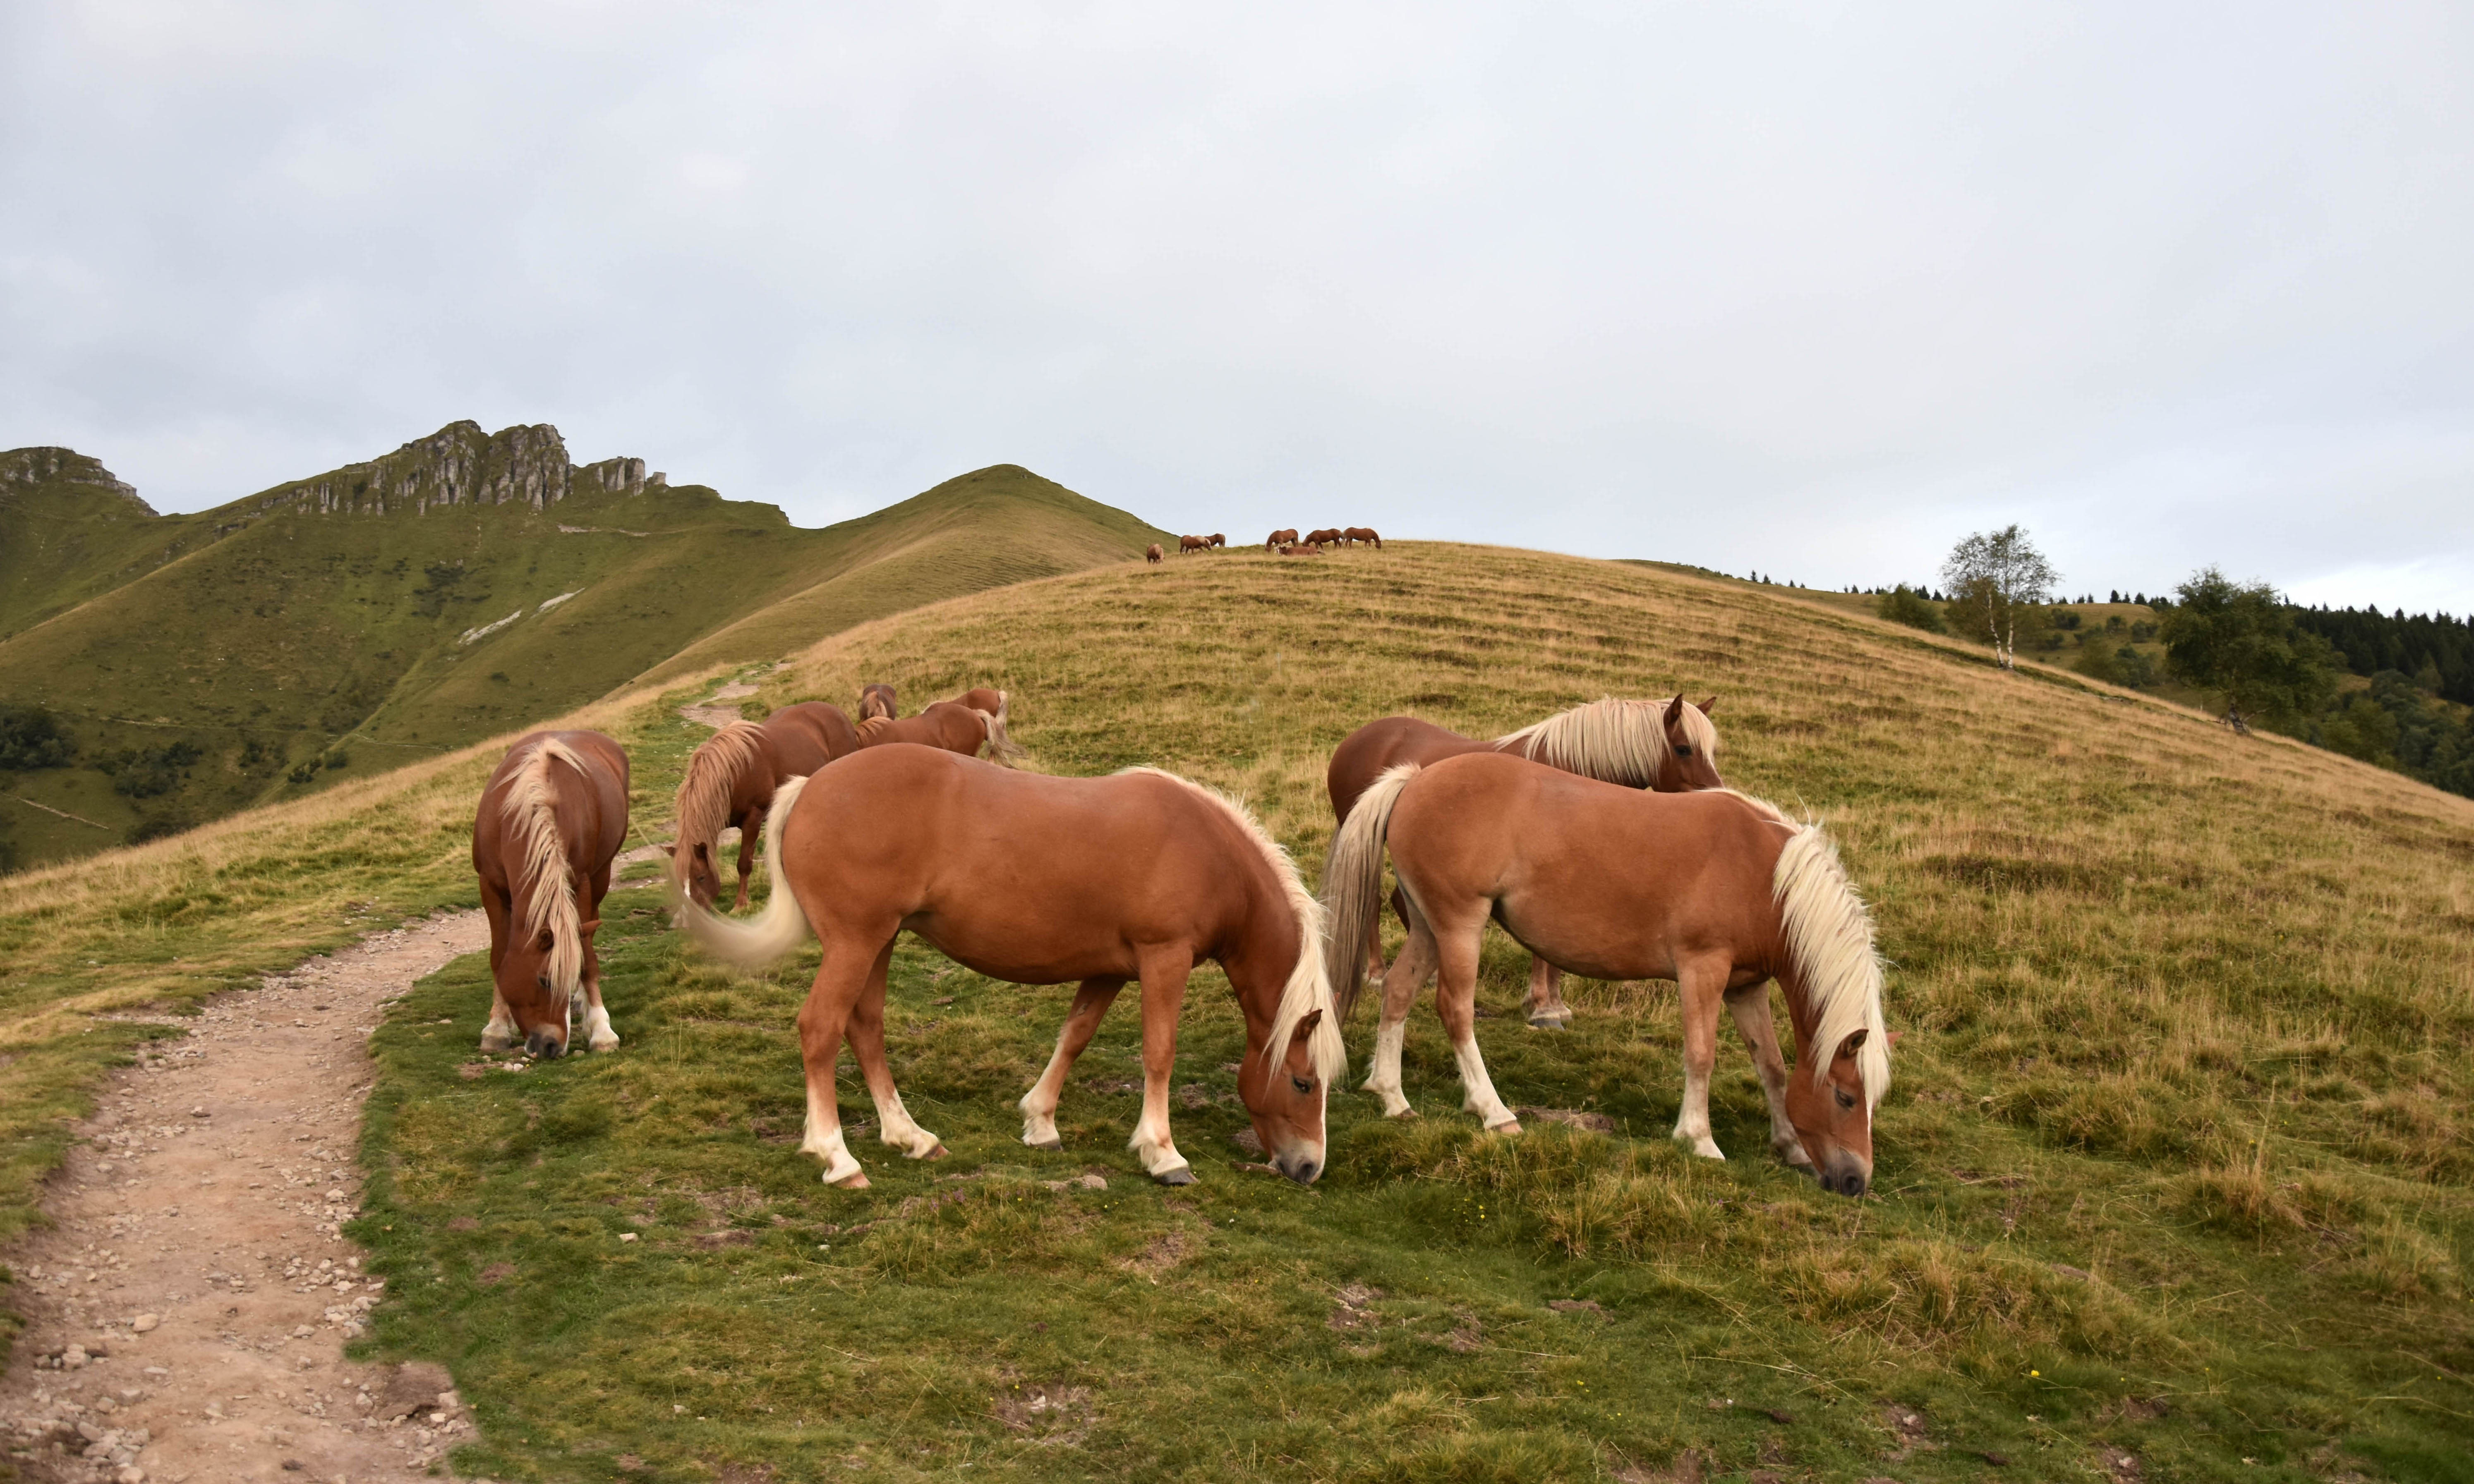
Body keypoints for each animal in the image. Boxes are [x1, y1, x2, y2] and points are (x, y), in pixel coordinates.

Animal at [470, 727, 628, 1053]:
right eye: (544, 981)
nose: (551, 1046)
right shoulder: (489, 885)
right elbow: (498, 957)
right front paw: (496, 1029)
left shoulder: (580, 883)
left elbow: (587, 959)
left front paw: (602, 1031)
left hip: (601, 876)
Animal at [668, 747, 1346, 1187]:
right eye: (1303, 1083)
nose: (1310, 1168)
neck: (1208, 853)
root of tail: (808, 786)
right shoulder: (1164, 959)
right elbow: (1159, 1053)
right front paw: (1162, 1153)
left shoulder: (1110, 968)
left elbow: (1075, 1035)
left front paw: (1040, 1122)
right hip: (855, 943)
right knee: (820, 1030)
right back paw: (837, 1157)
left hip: (877, 943)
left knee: (865, 1028)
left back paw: (911, 1137)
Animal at [673, 702, 866, 910]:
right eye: (679, 882)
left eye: (700, 877)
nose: (688, 914)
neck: (733, 774)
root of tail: (838, 713)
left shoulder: (753, 818)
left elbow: (744, 863)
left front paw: (740, 904)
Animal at [1336, 692, 1722, 1019]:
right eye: (1684, 749)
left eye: (1712, 751)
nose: (1718, 795)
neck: (1573, 768)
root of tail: (1357, 739)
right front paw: (1541, 1005)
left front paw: (1555, 1003)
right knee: (1371, 902)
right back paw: (1376, 973)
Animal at [1336, 761, 1890, 1202]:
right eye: (1845, 1097)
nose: (1855, 1181)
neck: (1768, 877)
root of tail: (1416, 780)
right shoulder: (1703, 970)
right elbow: (1701, 1055)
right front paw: (1699, 1139)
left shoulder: (1744, 986)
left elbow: (1771, 1065)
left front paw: (1789, 1144)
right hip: (1459, 928)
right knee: (1455, 1011)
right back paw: (1493, 1111)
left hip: (1429, 930)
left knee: (1399, 992)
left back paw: (1392, 1097)